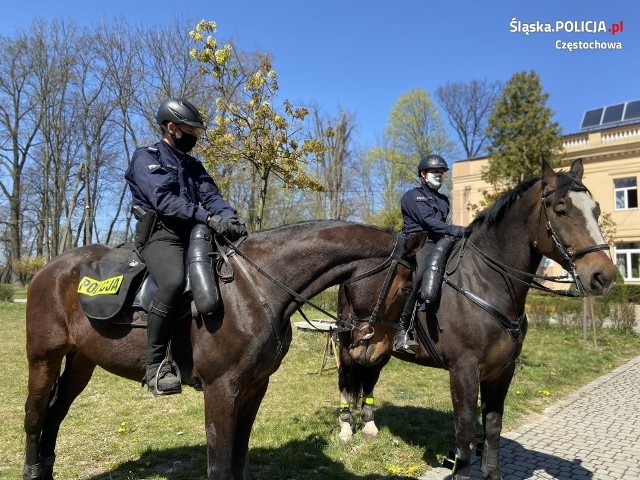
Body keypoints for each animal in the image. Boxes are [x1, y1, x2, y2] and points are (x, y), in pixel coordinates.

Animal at [22, 221, 428, 480]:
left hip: (81, 361)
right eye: (407, 288)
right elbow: (219, 464)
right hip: (43, 357)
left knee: (56, 414)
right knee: (35, 414)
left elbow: (239, 456)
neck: (258, 288)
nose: (377, 351)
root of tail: (49, 269)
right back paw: (31, 469)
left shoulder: (254, 386)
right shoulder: (221, 389)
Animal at [336, 159, 616, 478]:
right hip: (347, 343)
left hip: (377, 349)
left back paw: (370, 425)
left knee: (369, 377)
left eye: (596, 209)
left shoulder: (502, 370)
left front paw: (492, 472)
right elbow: (466, 429)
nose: (603, 276)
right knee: (345, 380)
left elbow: (492, 426)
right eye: (560, 208)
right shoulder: (464, 370)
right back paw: (346, 429)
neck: (486, 283)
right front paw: (460, 469)